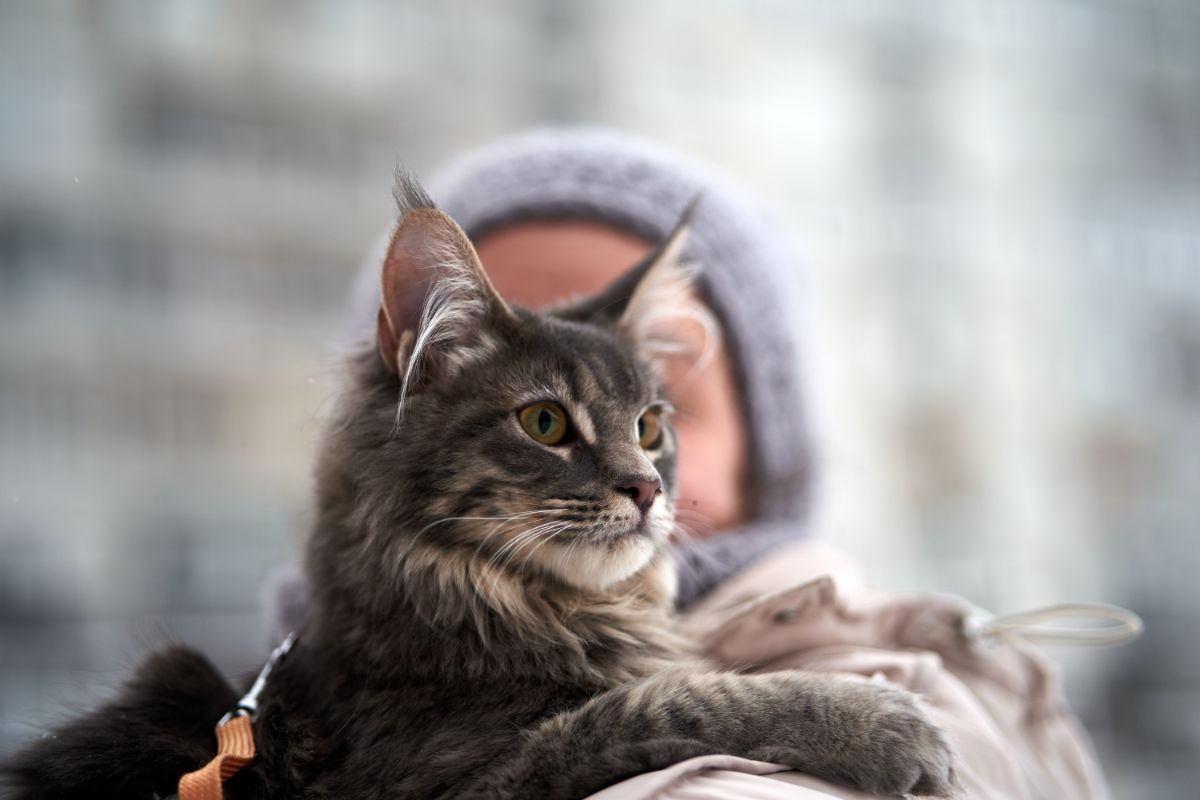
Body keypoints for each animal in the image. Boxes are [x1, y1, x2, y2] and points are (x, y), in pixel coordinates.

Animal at [2, 172, 955, 796]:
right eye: (547, 424)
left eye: (651, 428)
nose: (647, 488)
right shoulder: (465, 779)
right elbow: (665, 703)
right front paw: (880, 721)